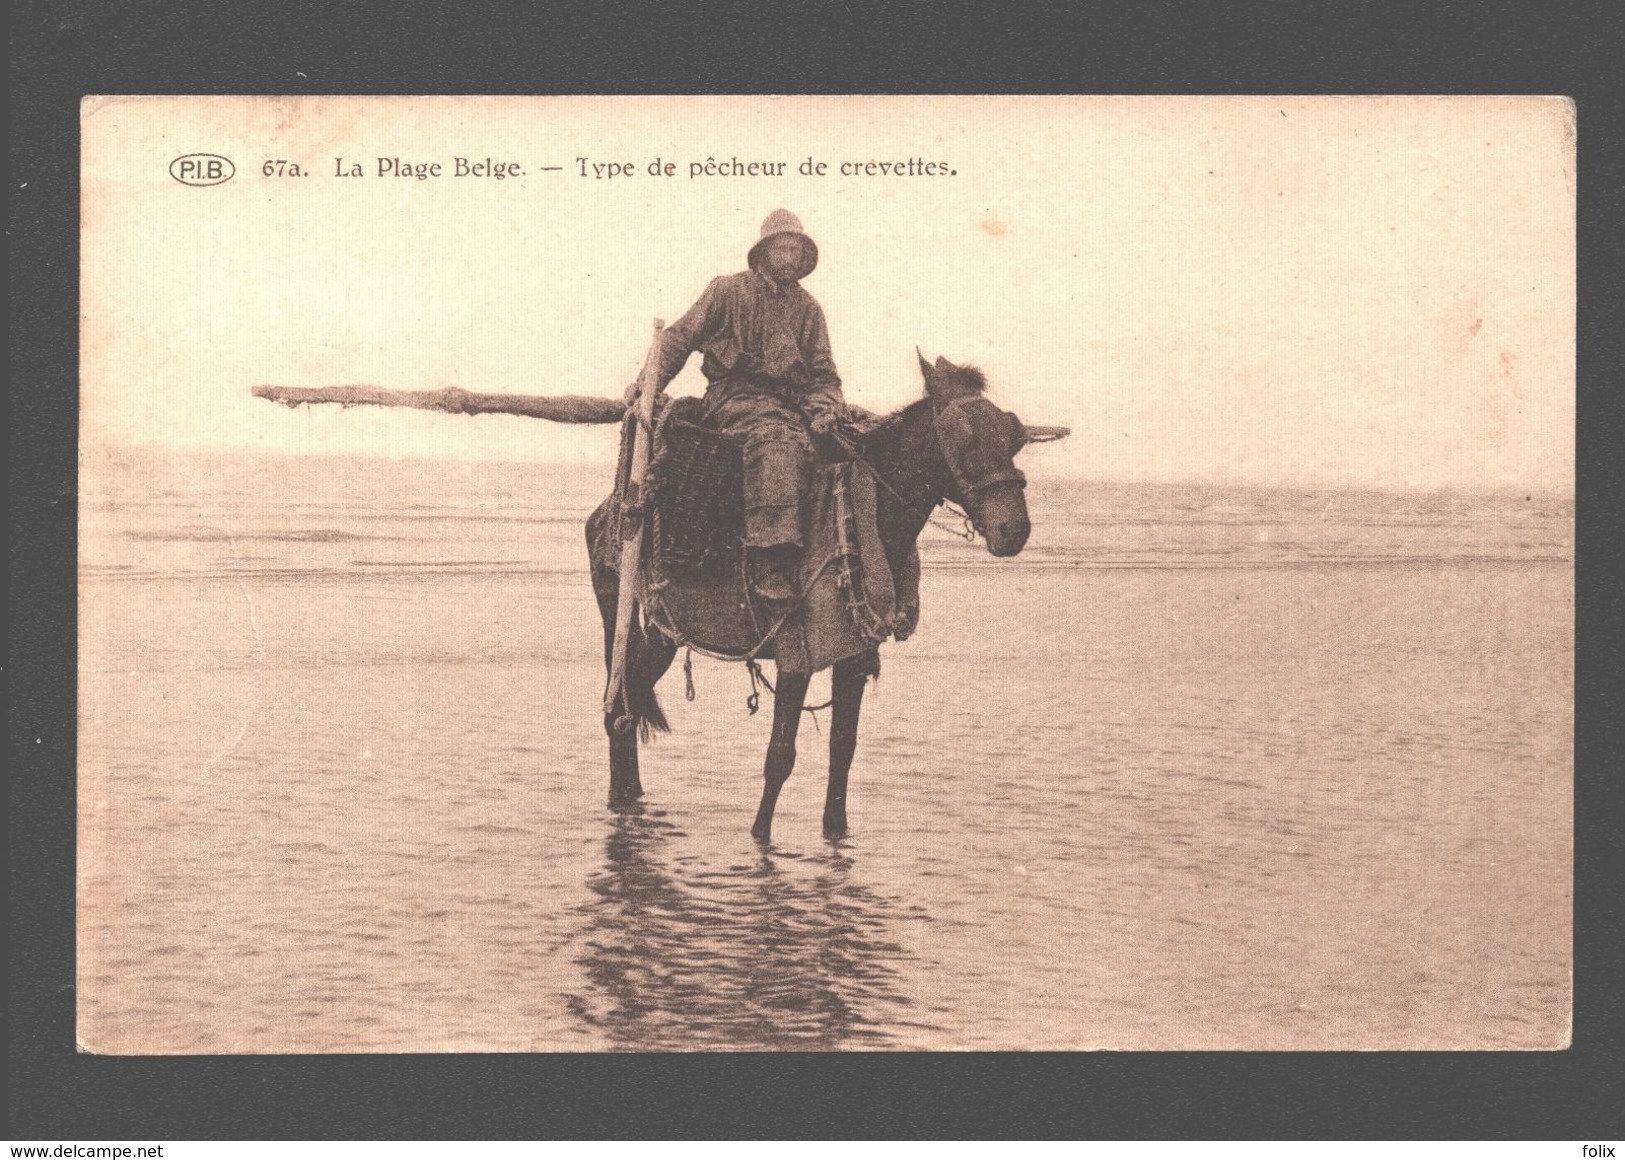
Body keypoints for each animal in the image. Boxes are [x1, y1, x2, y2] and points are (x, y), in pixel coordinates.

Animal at [591, 352, 1046, 838]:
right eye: (963, 437)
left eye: (1013, 433)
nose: (1014, 530)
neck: (860, 520)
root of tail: (607, 513)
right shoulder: (797, 658)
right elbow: (779, 757)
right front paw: (760, 837)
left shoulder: (853, 659)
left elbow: (842, 751)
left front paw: (835, 833)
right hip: (638, 629)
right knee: (617, 710)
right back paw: (622, 802)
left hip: (658, 638)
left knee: (627, 706)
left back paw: (631, 799)